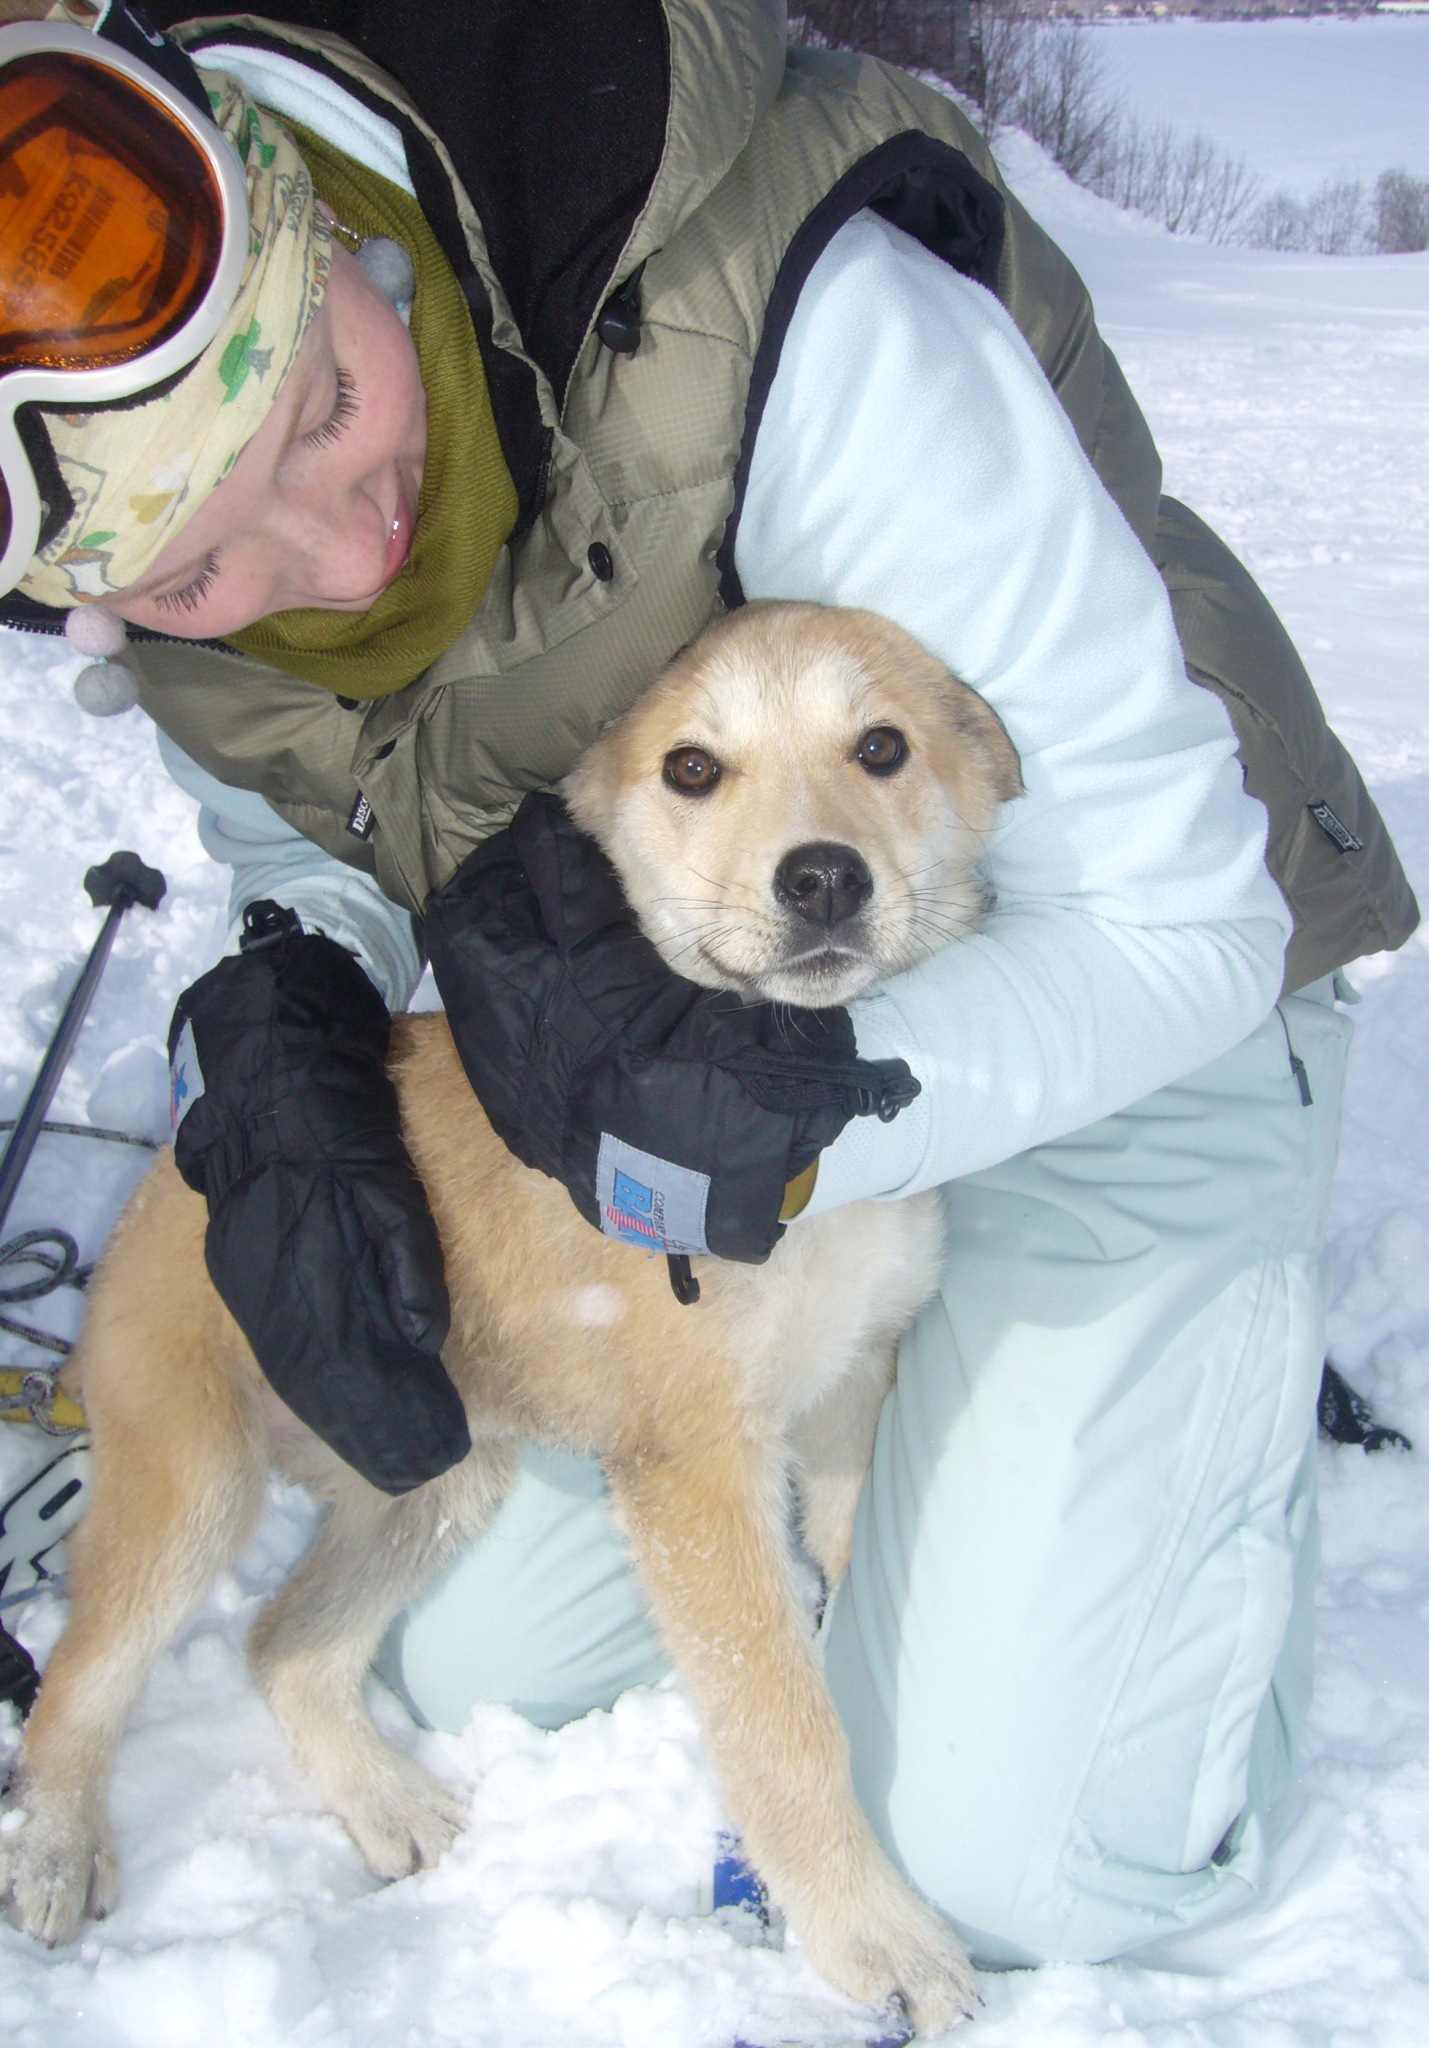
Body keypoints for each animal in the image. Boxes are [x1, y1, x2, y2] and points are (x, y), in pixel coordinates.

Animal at [0, 602, 1021, 2034]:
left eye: (881, 746)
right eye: (691, 768)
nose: (822, 878)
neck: (808, 1163)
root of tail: (167, 1165)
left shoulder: (846, 1394)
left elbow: (846, 1596)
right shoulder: (697, 1468)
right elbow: (779, 1718)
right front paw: (873, 1933)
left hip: (436, 1477)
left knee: (282, 1644)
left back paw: (386, 1803)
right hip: (192, 1480)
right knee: (86, 1678)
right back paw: (54, 1847)